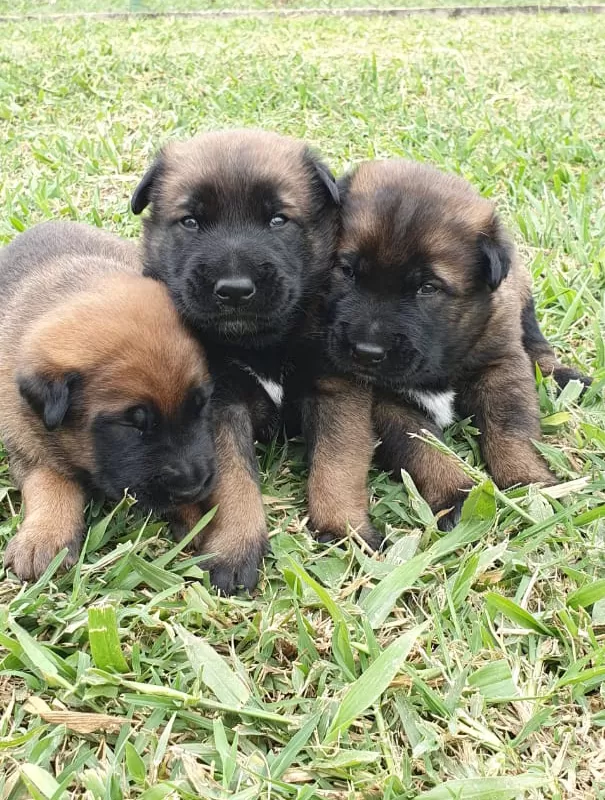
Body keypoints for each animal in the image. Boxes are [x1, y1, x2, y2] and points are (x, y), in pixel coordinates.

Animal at [0, 222, 217, 580]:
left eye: (201, 406)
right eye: (132, 424)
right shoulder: (26, 440)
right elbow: (50, 480)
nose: (193, 486)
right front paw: (45, 534)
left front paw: (197, 511)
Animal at [131, 128, 340, 592]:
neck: (259, 344)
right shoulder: (219, 408)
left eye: (278, 220)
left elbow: (333, 460)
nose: (234, 289)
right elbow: (234, 481)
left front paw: (343, 527)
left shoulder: (328, 387)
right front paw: (236, 549)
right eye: (190, 221)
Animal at [302, 159, 588, 536]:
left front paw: (529, 481)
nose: (366, 351)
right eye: (346, 271)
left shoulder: (501, 364)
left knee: (536, 341)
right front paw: (456, 494)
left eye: (428, 288)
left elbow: (512, 428)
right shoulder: (386, 400)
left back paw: (565, 377)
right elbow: (422, 447)